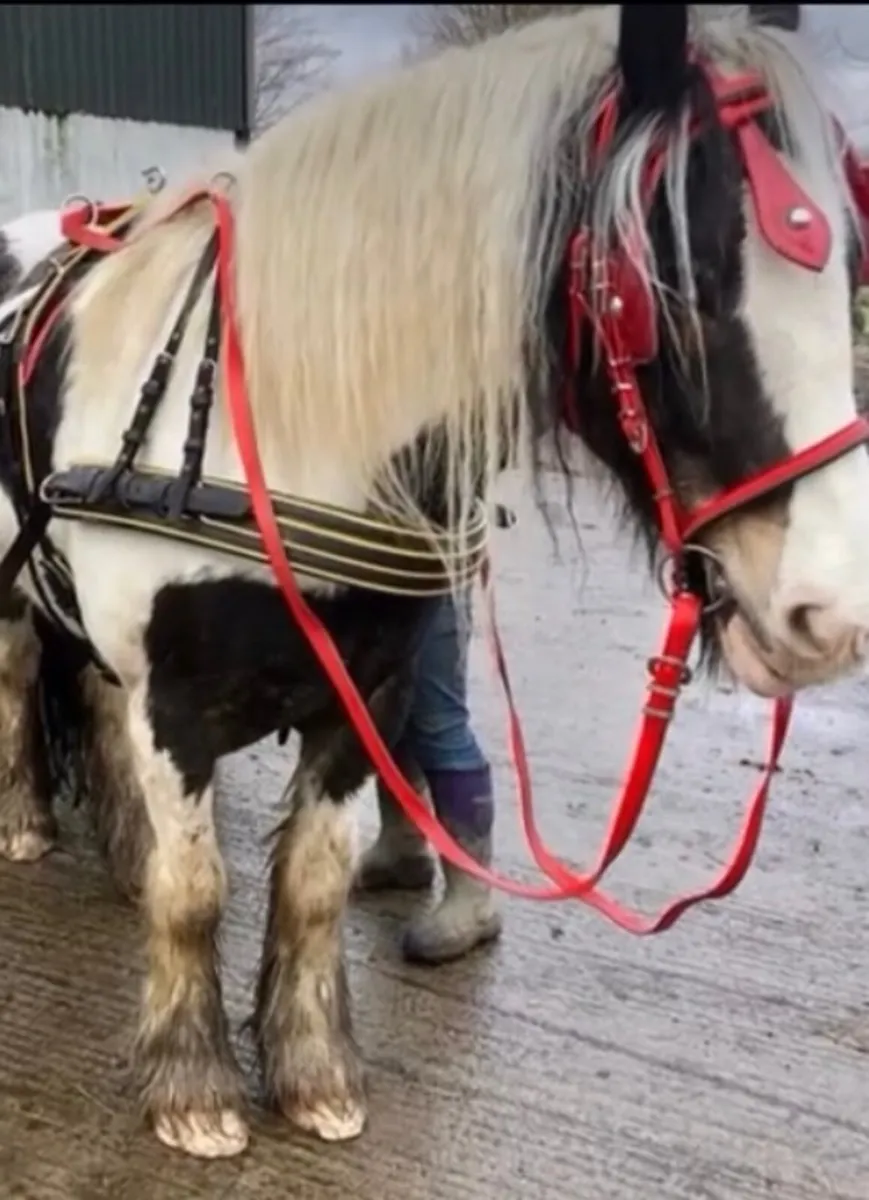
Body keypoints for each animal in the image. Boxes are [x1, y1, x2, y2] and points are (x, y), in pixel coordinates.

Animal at [0, 2, 867, 1162]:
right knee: (20, 678)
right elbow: (197, 893)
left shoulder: (364, 691)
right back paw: (27, 821)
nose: (830, 612)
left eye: (848, 270)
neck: (275, 430)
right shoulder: (177, 704)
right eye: (673, 283)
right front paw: (191, 1090)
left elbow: (311, 885)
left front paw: (312, 1074)